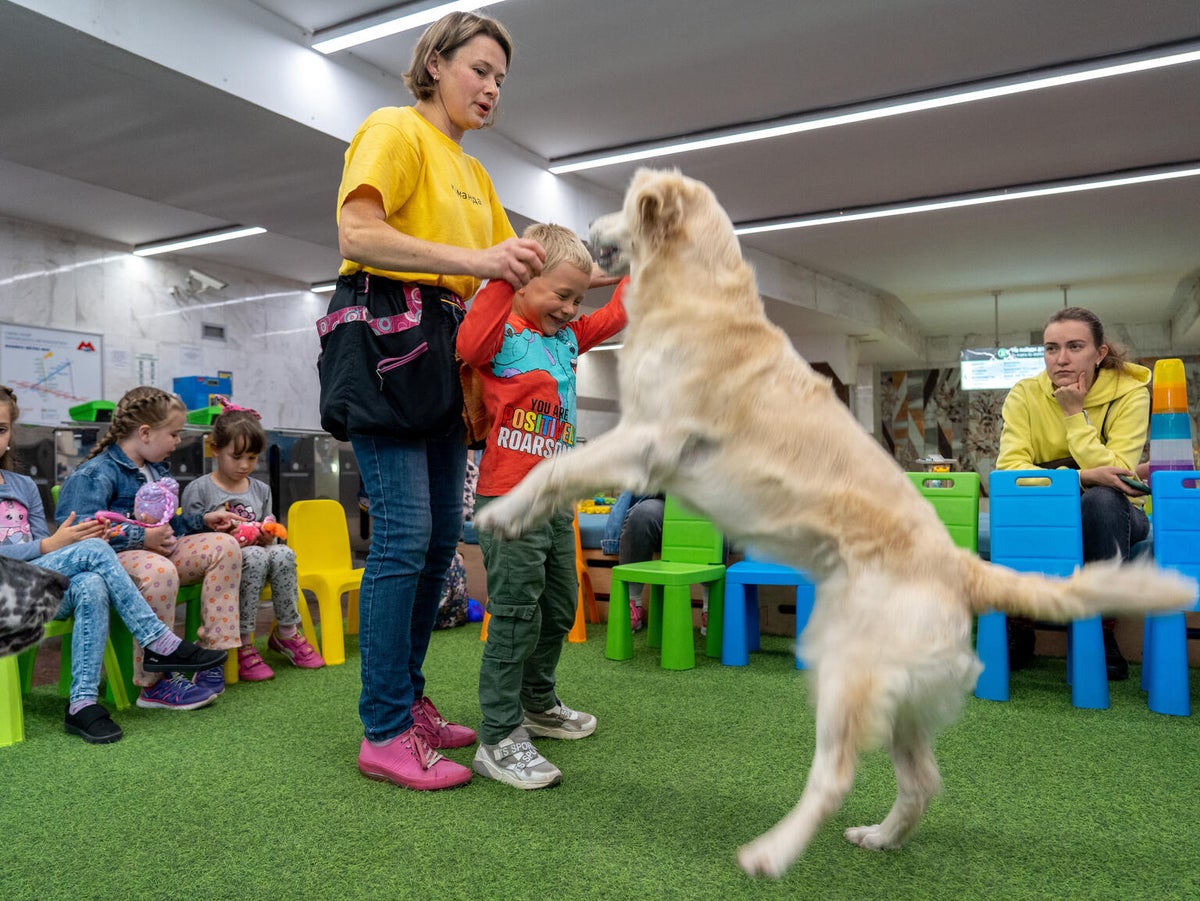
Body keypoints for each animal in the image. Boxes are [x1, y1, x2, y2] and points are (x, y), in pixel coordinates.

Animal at [472, 165, 1195, 878]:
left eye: (621, 205)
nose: (588, 227)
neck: (700, 291)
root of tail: (962, 566)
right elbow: (562, 472)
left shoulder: (649, 439)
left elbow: (556, 469)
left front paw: (500, 510)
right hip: (896, 696)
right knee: (921, 780)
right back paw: (881, 837)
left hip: (843, 670)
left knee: (836, 774)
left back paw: (771, 852)